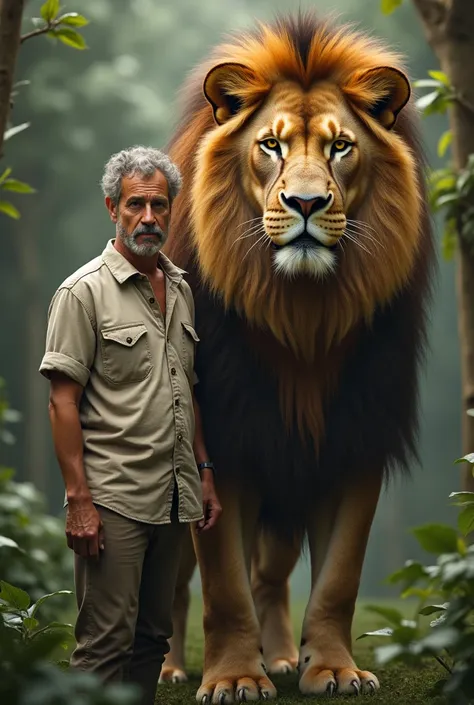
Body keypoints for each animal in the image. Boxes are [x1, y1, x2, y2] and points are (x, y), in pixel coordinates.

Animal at [159, 9, 434, 700]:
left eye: (340, 146)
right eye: (271, 146)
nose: (306, 204)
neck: (304, 315)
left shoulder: (356, 436)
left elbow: (336, 578)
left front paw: (330, 668)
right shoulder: (223, 440)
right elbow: (222, 585)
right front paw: (232, 677)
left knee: (271, 576)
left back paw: (282, 658)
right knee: (171, 579)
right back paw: (171, 666)